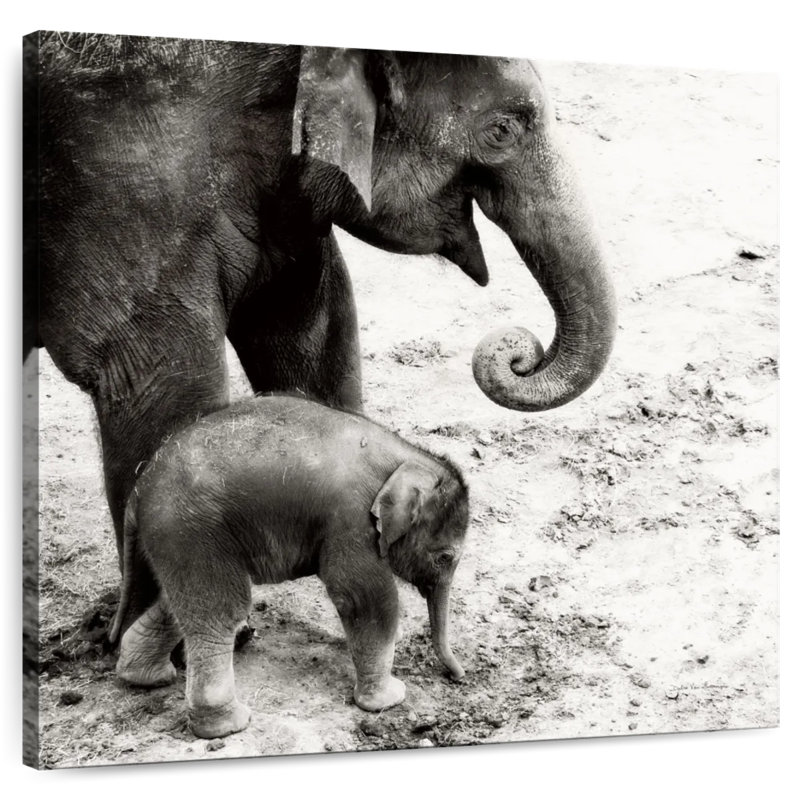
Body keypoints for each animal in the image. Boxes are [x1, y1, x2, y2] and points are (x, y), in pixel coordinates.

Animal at [109, 394, 469, 739]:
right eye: (445, 557)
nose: (460, 676)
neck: (405, 456)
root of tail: (139, 490)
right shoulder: (351, 519)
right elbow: (363, 598)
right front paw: (390, 699)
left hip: (177, 539)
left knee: (179, 603)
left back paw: (146, 676)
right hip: (191, 529)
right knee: (219, 611)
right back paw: (227, 726)